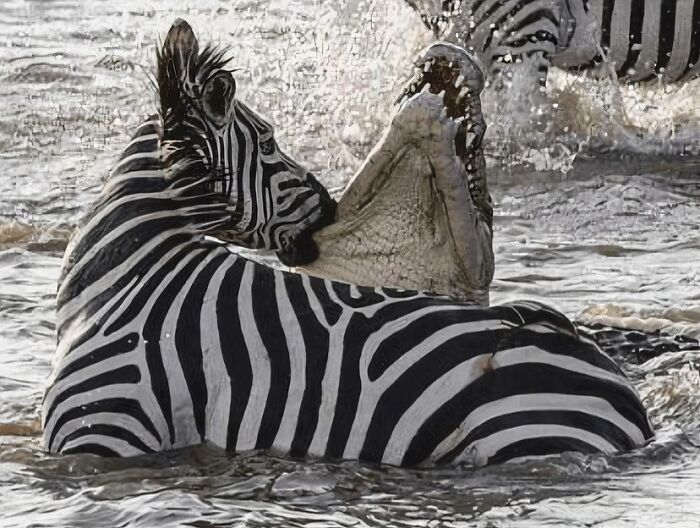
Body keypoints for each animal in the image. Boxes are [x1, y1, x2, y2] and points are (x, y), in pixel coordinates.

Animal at [42, 19, 653, 465]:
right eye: (269, 143)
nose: (329, 209)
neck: (131, 280)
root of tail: (624, 398)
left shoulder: (106, 428)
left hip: (511, 431)